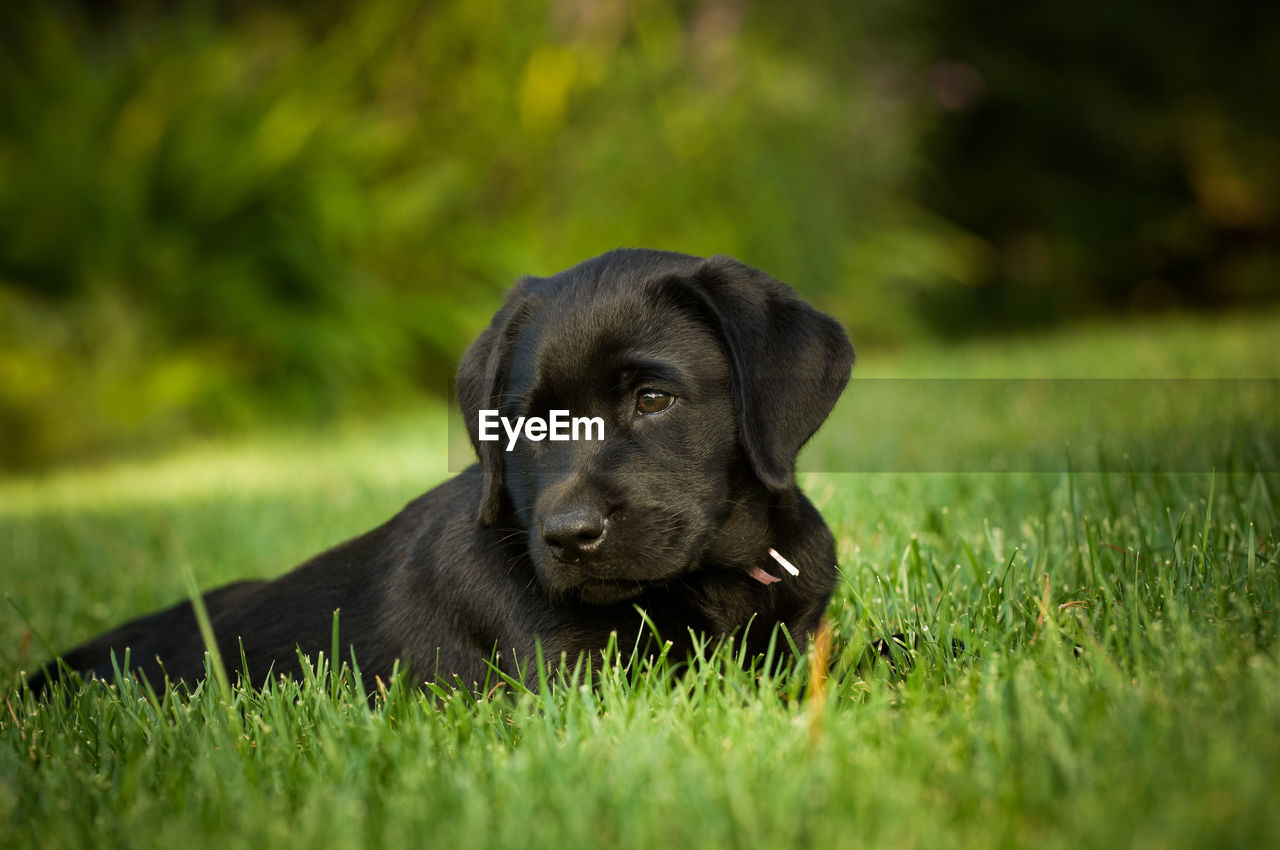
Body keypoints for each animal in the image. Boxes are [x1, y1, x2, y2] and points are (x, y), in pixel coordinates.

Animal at [24, 247, 855, 696]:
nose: (567, 537)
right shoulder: (587, 681)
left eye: (654, 399)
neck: (720, 579)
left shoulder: (805, 638)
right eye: (526, 422)